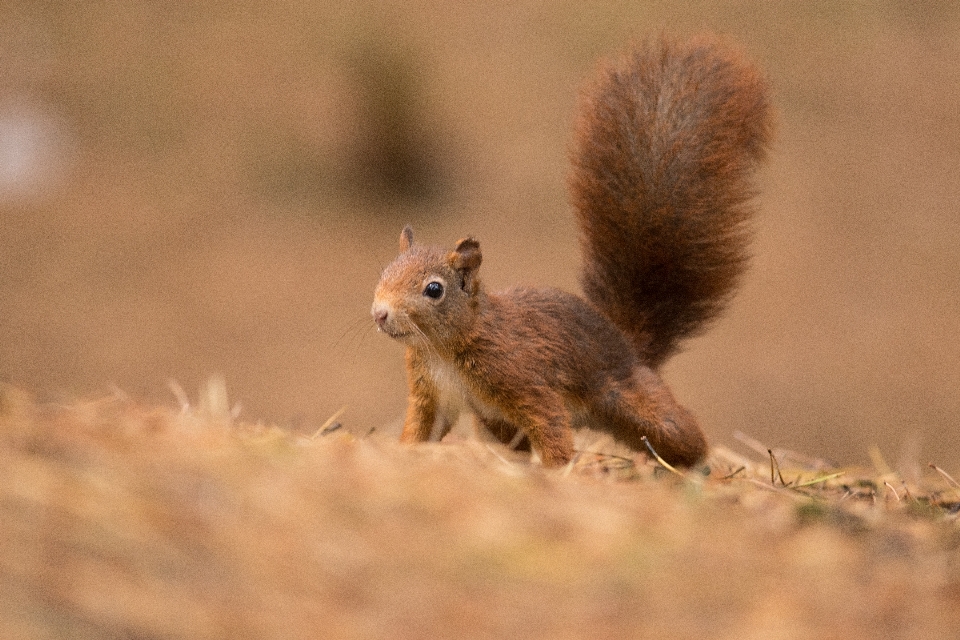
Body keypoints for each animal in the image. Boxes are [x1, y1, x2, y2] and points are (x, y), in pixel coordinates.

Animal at [370, 36, 772, 464]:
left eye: (434, 289)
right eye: (384, 273)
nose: (380, 314)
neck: (442, 350)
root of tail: (626, 343)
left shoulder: (524, 380)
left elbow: (549, 425)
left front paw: (556, 471)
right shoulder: (432, 394)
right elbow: (421, 430)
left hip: (632, 400)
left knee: (680, 431)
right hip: (496, 423)